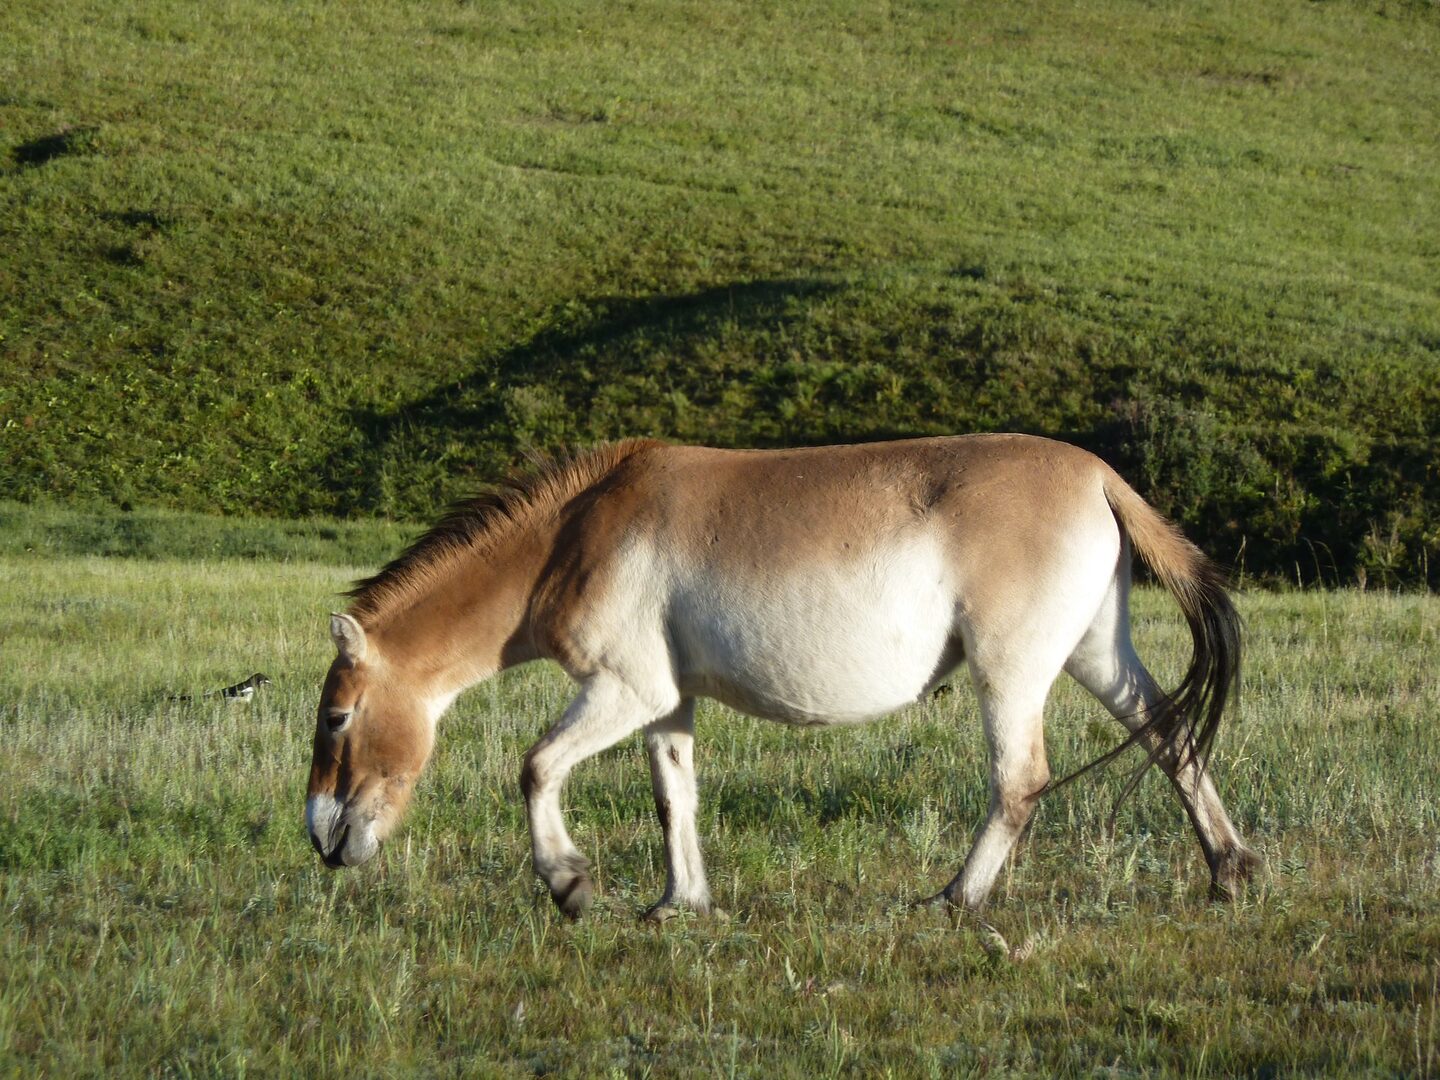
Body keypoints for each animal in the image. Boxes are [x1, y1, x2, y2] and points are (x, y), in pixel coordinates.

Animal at [306, 435, 1258, 920]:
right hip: (1097, 655)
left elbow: (536, 768)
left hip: (1011, 670)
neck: (577, 530)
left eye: (337, 719)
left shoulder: (625, 691)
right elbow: (674, 798)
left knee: (1019, 780)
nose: (323, 839)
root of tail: (1099, 474)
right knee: (1172, 736)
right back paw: (1229, 869)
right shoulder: (668, 702)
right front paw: (681, 902)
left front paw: (569, 884)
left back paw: (955, 897)